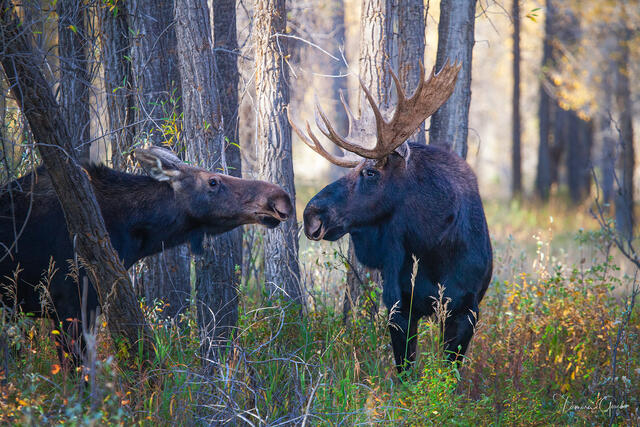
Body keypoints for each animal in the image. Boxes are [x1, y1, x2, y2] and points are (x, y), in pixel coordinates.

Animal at [288, 61, 493, 372]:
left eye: (370, 172)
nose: (312, 214)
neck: (434, 246)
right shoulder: (399, 305)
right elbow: (405, 371)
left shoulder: (466, 309)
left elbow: (448, 372)